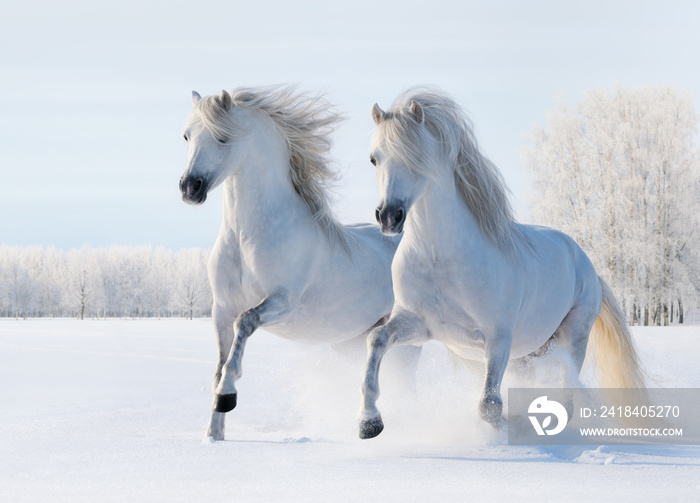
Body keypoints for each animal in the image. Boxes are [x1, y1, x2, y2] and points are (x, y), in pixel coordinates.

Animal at [180, 88, 418, 442]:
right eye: (187, 136)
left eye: (222, 137)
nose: (189, 188)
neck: (246, 238)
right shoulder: (220, 309)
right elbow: (219, 366)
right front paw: (214, 435)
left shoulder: (282, 302)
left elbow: (244, 324)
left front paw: (227, 397)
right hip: (352, 341)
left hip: (409, 337)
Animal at [360, 88, 644, 440]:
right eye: (374, 158)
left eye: (417, 156)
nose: (389, 216)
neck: (441, 259)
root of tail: (586, 262)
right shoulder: (418, 325)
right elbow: (376, 339)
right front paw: (369, 422)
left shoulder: (498, 338)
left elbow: (489, 406)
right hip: (530, 351)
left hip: (573, 336)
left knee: (567, 396)